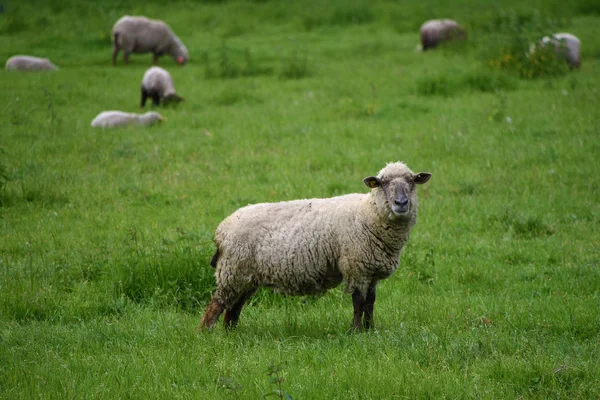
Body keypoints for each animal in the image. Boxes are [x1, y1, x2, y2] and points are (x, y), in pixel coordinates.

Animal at [200, 160, 432, 332]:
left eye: (412, 181)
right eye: (383, 183)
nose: (401, 203)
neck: (369, 212)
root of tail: (222, 230)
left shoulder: (371, 271)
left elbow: (370, 302)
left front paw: (370, 330)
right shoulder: (356, 266)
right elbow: (358, 302)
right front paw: (356, 332)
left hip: (246, 276)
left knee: (233, 309)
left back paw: (231, 334)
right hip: (232, 271)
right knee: (216, 306)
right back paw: (206, 335)